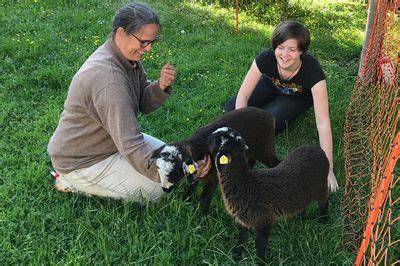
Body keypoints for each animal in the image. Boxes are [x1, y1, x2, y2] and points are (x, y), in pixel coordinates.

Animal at [148, 106, 280, 214]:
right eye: (158, 169)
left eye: (175, 172)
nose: (165, 189)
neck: (199, 148)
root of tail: (269, 115)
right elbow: (192, 186)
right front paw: (186, 200)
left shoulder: (213, 177)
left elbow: (204, 199)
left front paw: (203, 220)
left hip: (264, 147)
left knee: (275, 163)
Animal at [208, 127, 330, 264]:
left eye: (216, 139)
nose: (206, 139)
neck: (245, 182)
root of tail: (317, 150)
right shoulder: (242, 220)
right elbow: (242, 238)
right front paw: (237, 256)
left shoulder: (264, 220)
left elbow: (260, 244)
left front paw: (260, 261)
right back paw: (299, 218)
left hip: (321, 186)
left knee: (324, 201)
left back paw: (323, 220)